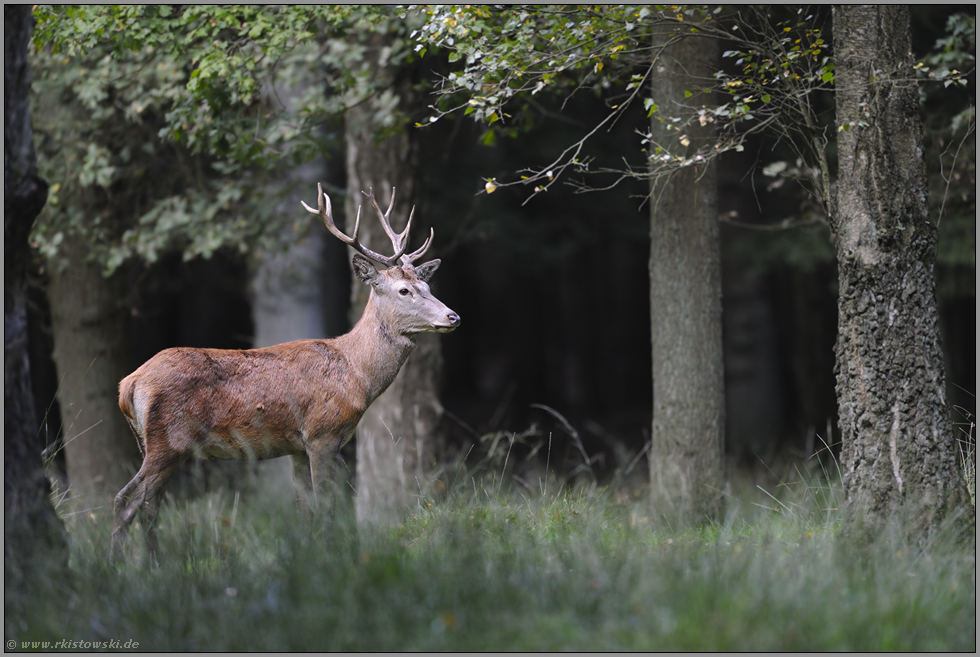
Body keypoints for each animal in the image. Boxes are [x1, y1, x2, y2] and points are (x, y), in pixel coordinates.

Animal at [111, 183, 460, 560]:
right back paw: (119, 565)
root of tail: (128, 384)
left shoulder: (296, 446)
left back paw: (154, 563)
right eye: (403, 290)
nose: (453, 316)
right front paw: (332, 556)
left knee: (149, 505)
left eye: (428, 287)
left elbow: (304, 510)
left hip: (154, 444)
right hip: (168, 440)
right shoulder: (323, 433)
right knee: (127, 500)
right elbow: (327, 507)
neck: (356, 375)